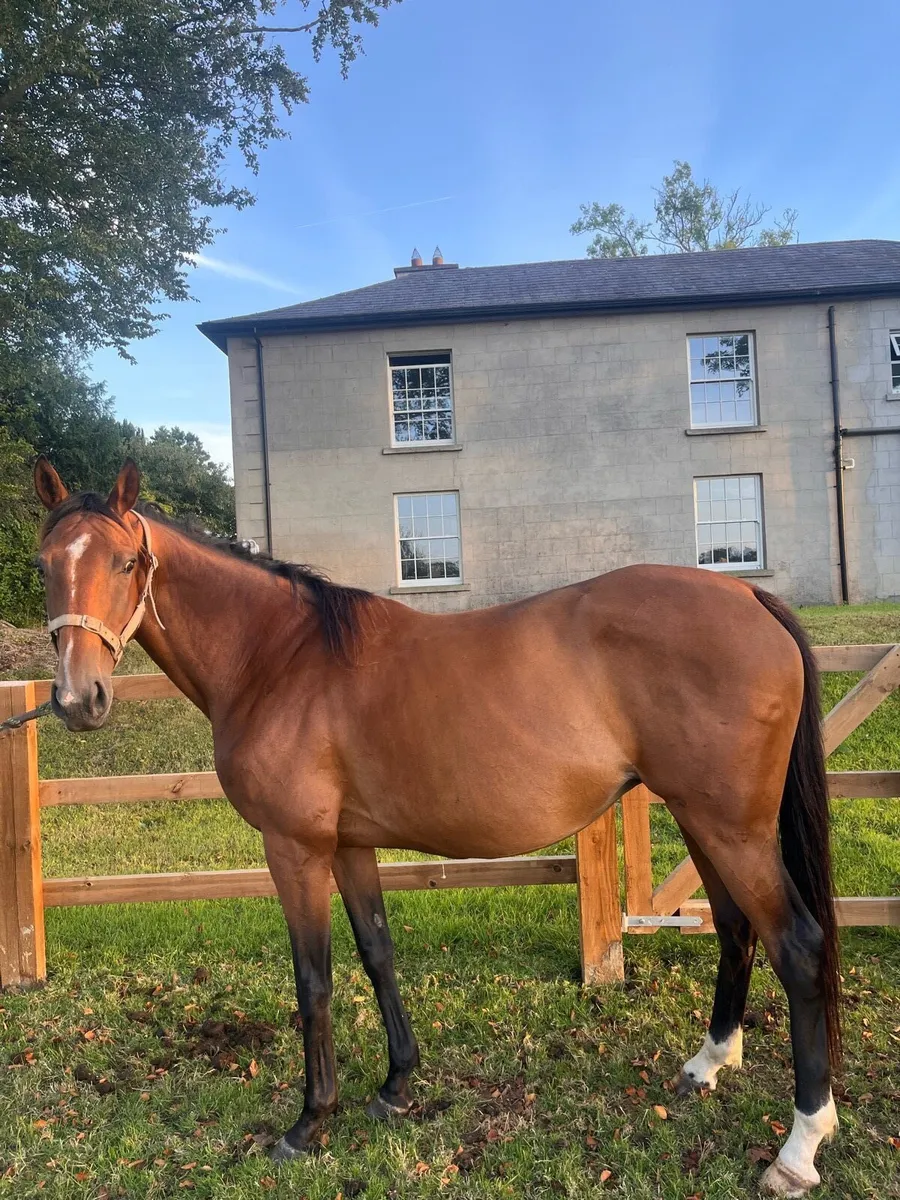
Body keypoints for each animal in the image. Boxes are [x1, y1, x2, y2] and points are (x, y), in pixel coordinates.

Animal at [32, 457, 841, 1197]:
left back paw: (799, 1147)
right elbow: (377, 953)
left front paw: (309, 1121)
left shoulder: (294, 848)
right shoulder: (349, 845)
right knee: (736, 929)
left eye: (126, 562)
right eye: (45, 564)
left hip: (731, 829)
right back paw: (708, 1063)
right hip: (702, 821)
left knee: (797, 947)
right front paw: (396, 1086)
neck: (278, 658)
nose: (78, 699)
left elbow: (313, 978)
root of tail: (744, 591)